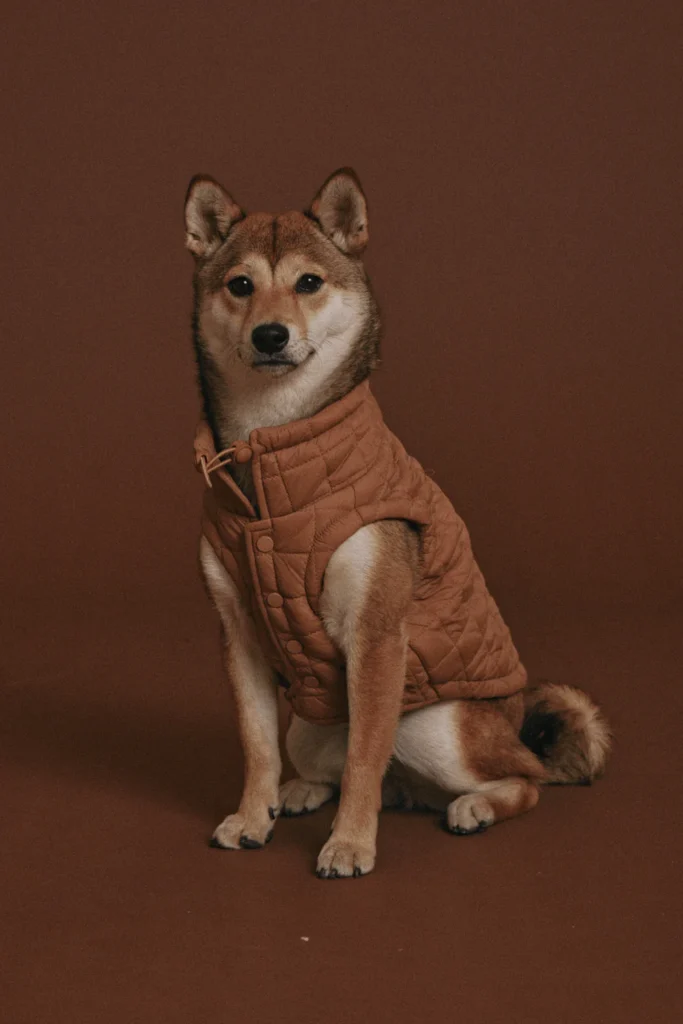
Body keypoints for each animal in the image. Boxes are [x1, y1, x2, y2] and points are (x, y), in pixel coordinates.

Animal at [181, 169, 610, 880]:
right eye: (240, 285)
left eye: (308, 283)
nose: (270, 335)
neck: (275, 451)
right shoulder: (237, 634)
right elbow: (258, 744)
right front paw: (251, 816)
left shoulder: (377, 635)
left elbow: (364, 756)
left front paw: (351, 844)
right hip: (309, 724)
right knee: (351, 768)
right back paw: (299, 793)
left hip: (436, 727)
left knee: (523, 778)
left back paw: (475, 806)